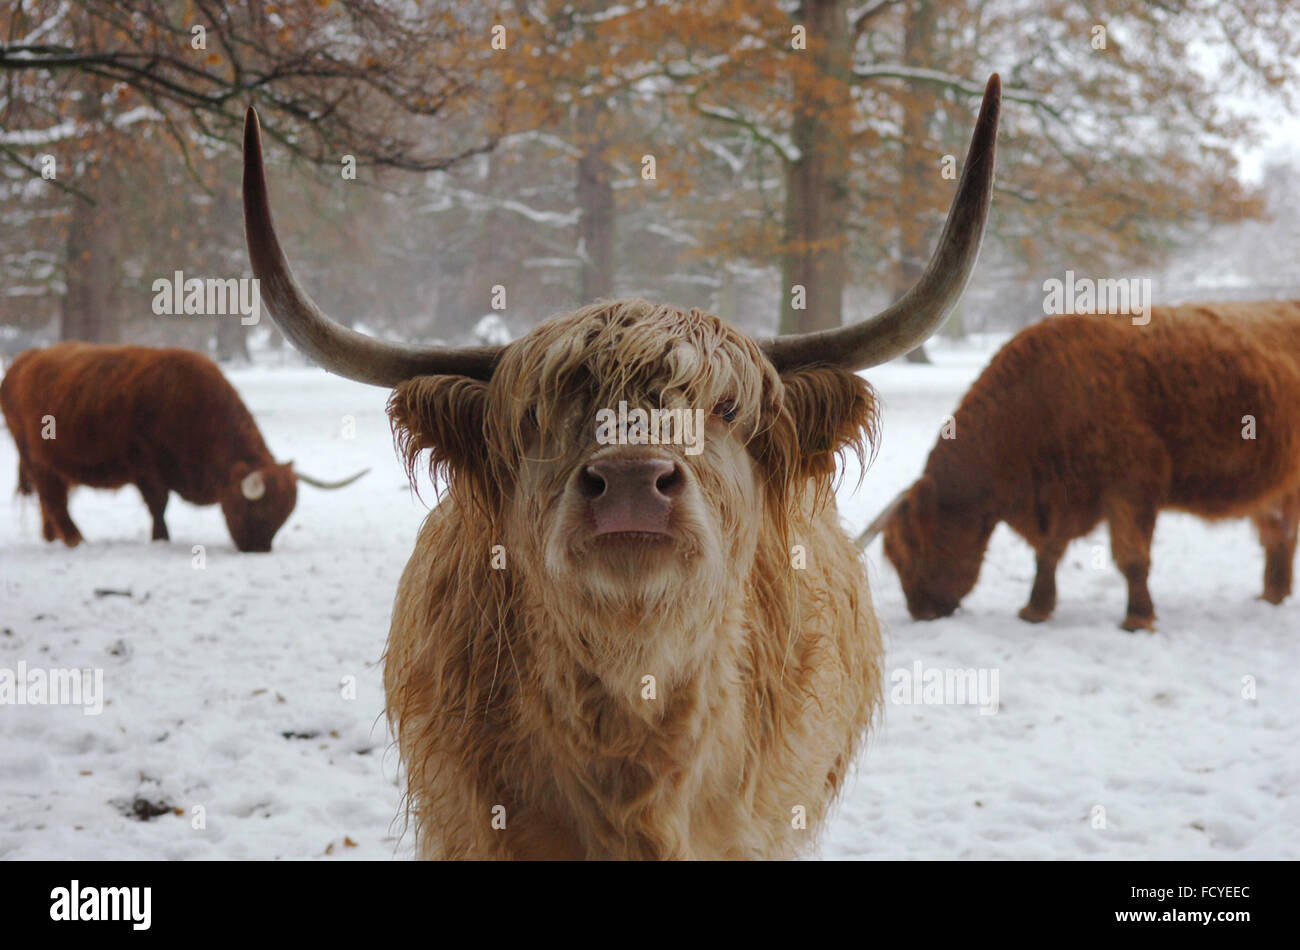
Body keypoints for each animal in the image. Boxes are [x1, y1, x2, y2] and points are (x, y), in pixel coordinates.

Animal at [1, 343, 366, 551]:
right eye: (258, 510)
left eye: (284, 515)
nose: (257, 549)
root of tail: (24, 360)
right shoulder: (146, 467)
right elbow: (158, 506)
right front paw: (160, 539)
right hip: (34, 454)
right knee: (53, 497)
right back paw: (74, 539)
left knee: (53, 498)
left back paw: (54, 537)